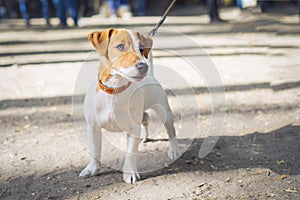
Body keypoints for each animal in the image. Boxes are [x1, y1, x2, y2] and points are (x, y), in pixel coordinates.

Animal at [79, 27, 180, 183]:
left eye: (141, 48)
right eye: (120, 46)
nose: (144, 66)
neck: (115, 90)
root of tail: (151, 76)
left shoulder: (133, 128)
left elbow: (130, 152)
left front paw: (130, 172)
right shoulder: (93, 126)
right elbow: (95, 149)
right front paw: (92, 169)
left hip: (163, 112)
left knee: (171, 130)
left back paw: (173, 150)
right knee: (145, 119)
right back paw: (145, 136)